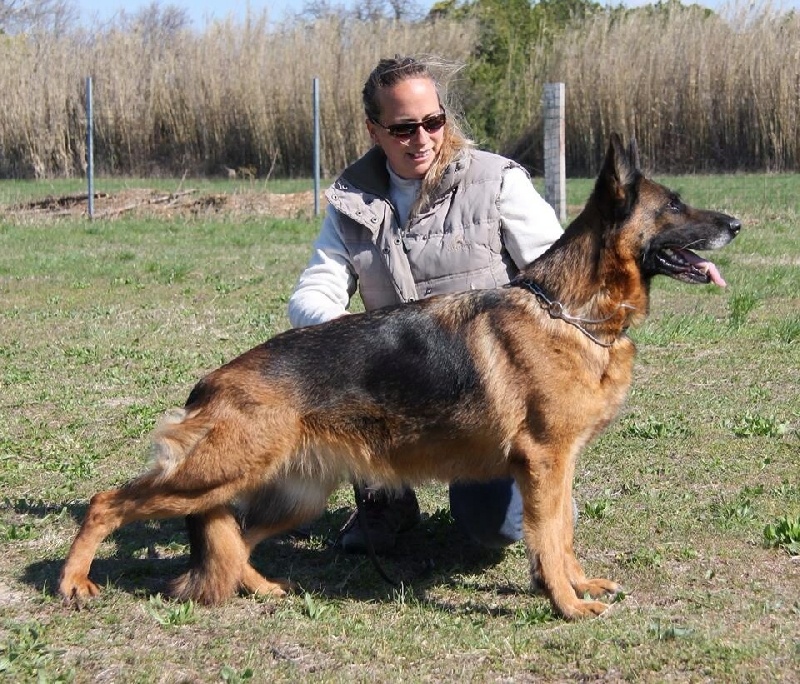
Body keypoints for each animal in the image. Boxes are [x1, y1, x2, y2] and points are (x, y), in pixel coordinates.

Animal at [59, 135, 740, 620]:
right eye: (674, 205)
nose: (736, 224)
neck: (569, 311)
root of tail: (212, 381)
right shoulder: (545, 461)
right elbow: (549, 535)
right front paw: (566, 605)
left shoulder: (560, 464)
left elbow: (564, 532)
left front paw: (572, 585)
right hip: (215, 474)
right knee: (107, 502)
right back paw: (74, 581)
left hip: (294, 493)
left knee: (236, 534)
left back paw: (261, 587)